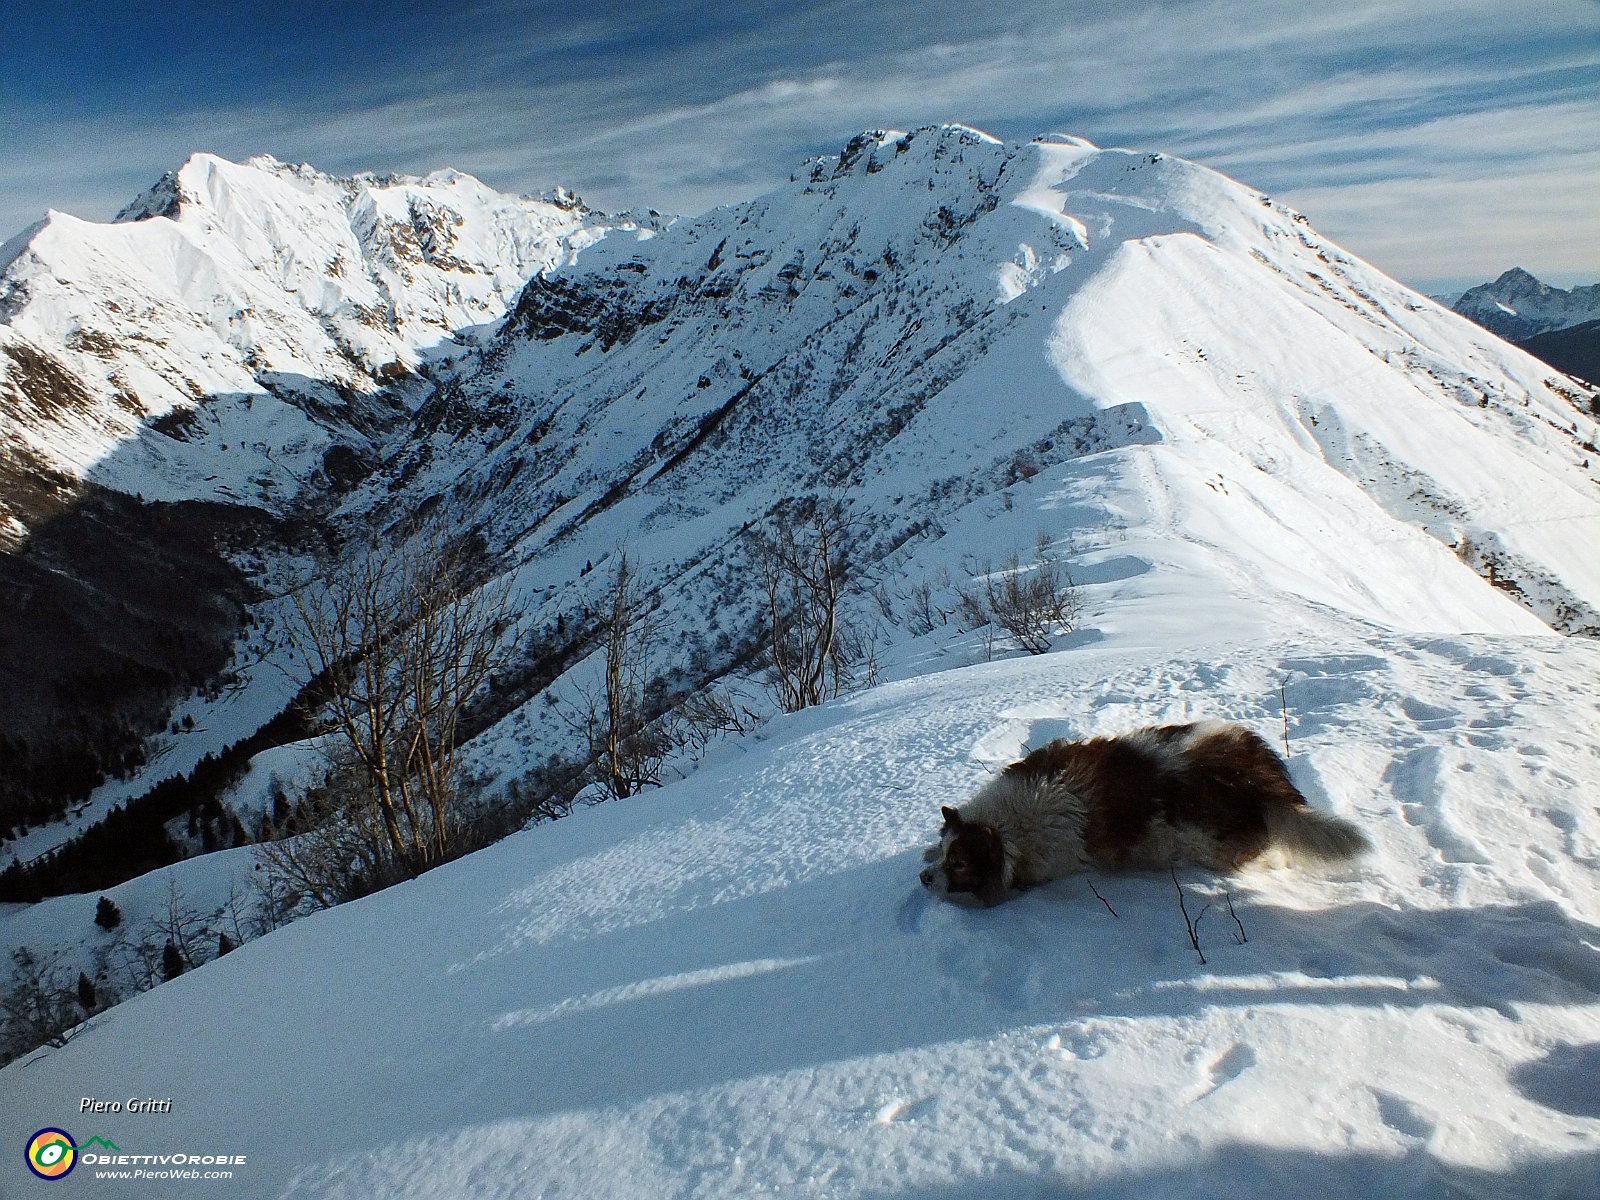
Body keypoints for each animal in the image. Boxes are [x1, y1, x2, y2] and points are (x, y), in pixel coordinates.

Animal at [921, 720, 1369, 908]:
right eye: (946, 853)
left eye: (959, 864)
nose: (925, 879)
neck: (1007, 829)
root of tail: (1260, 778)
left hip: (1214, 845)